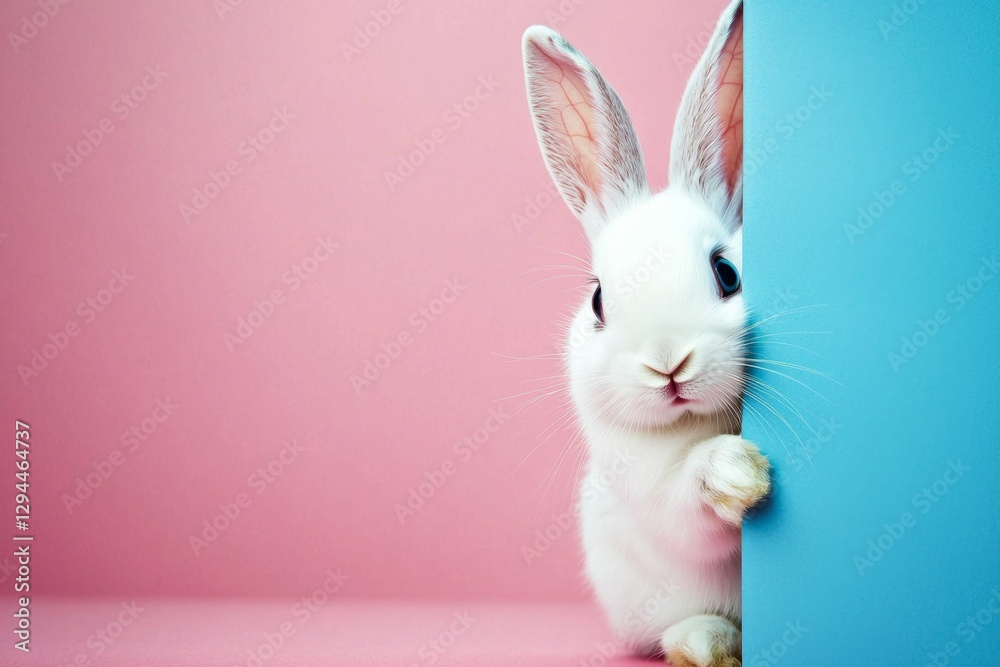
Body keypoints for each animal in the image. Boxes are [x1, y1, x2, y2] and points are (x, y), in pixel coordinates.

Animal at [521, 1, 768, 665]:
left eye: (727, 272)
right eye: (599, 301)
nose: (668, 363)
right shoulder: (651, 493)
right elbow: (688, 508)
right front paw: (740, 473)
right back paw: (706, 644)